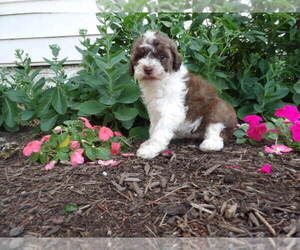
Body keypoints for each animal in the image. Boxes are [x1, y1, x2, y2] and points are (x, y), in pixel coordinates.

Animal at [129, 29, 237, 158]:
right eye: (140, 56)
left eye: (162, 57)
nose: (148, 69)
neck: (160, 82)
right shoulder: (154, 110)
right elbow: (154, 128)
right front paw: (149, 143)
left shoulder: (172, 110)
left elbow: (160, 130)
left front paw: (151, 148)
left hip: (219, 107)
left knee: (217, 129)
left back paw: (211, 143)